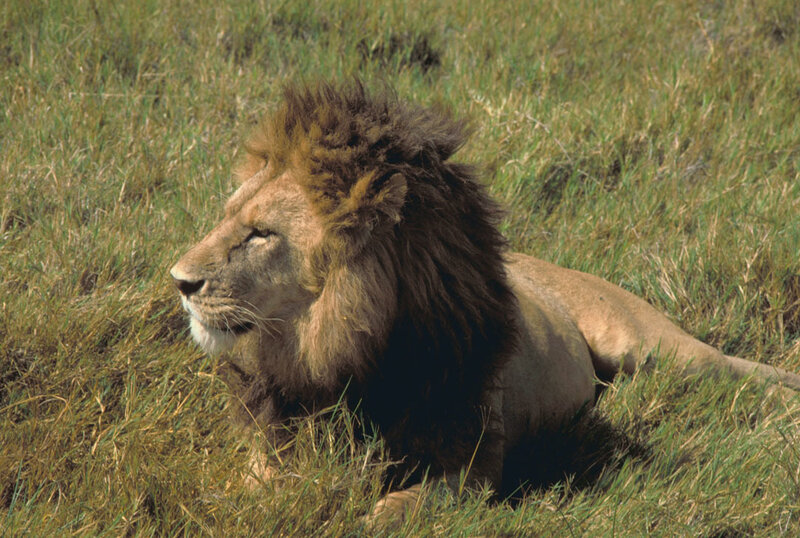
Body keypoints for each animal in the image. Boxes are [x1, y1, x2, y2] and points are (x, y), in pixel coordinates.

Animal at [170, 80, 800, 520]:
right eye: (227, 216)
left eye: (261, 234)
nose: (179, 281)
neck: (335, 352)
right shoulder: (269, 439)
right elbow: (262, 487)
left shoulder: (472, 462)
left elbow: (400, 507)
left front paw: (369, 516)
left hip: (650, 346)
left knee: (732, 367)